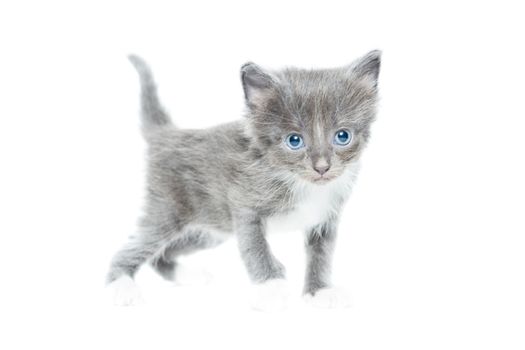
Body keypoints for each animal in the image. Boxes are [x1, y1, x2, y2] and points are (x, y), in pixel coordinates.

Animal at [106, 50, 380, 308]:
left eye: (342, 136)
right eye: (294, 140)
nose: (322, 167)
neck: (297, 181)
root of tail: (167, 134)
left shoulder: (325, 218)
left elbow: (321, 255)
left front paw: (319, 291)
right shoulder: (245, 206)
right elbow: (255, 247)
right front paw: (271, 287)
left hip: (211, 229)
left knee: (162, 254)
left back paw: (185, 275)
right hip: (168, 210)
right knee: (136, 246)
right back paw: (122, 286)